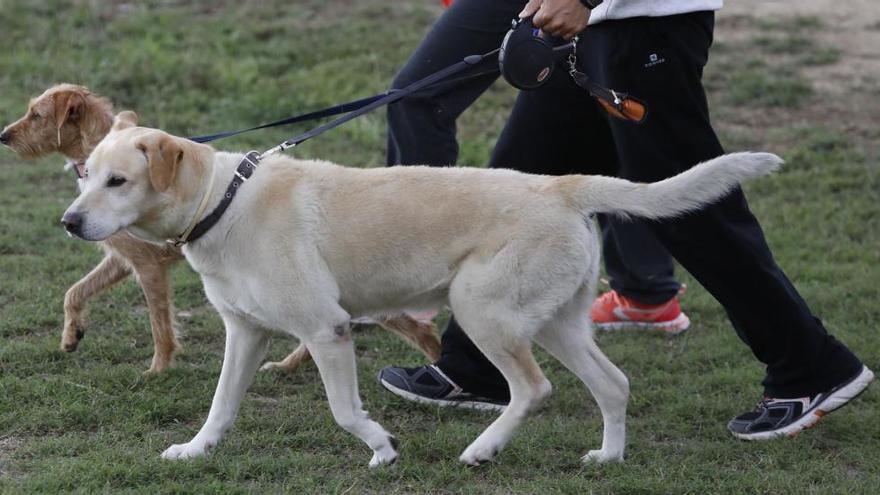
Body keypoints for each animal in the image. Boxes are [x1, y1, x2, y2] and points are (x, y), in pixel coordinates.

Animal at [0, 83, 440, 374]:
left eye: (36, 115)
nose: (4, 136)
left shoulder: (149, 267)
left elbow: (160, 324)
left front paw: (159, 368)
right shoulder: (124, 259)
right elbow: (74, 292)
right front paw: (71, 335)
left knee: (411, 326)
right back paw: (290, 364)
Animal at [62, 113, 780, 468]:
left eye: (119, 181)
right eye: (85, 174)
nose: (68, 222)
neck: (222, 200)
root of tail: (562, 186)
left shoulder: (326, 331)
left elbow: (345, 411)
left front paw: (382, 449)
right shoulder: (247, 332)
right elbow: (220, 407)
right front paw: (193, 452)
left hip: (482, 312)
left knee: (534, 388)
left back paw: (483, 450)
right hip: (556, 322)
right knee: (613, 384)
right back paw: (608, 457)